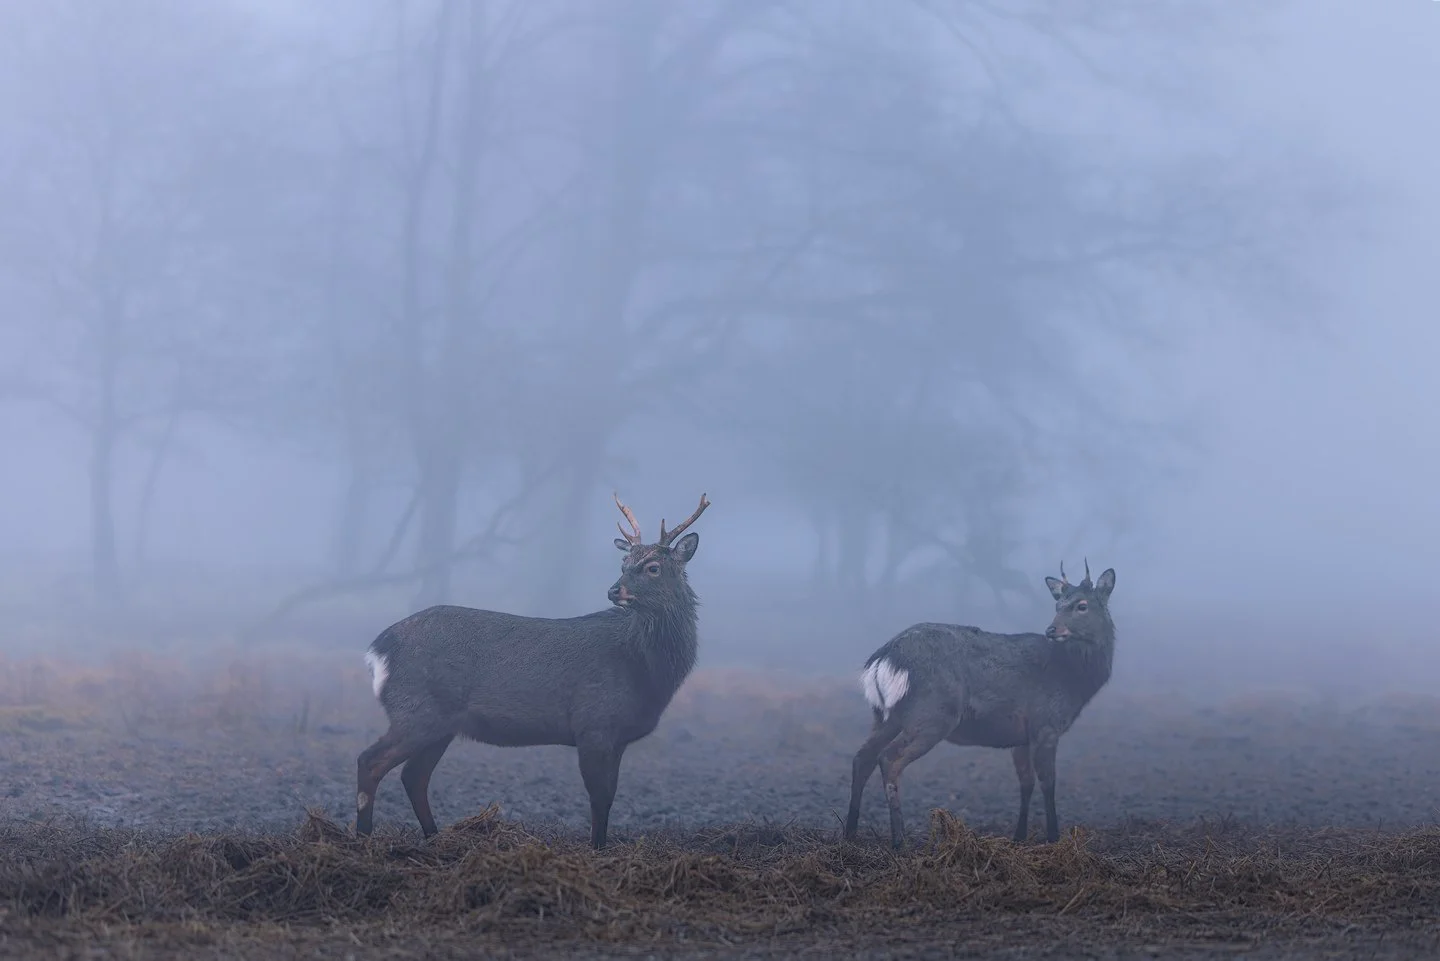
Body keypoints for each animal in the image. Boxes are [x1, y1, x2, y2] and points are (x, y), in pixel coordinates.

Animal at [354, 492, 711, 849]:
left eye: (653, 567)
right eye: (623, 564)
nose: (614, 590)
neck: (644, 670)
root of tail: (378, 649)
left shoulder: (616, 737)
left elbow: (610, 796)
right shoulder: (593, 724)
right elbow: (599, 797)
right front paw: (596, 848)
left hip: (441, 724)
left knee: (414, 776)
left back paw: (434, 837)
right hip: (416, 709)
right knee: (370, 762)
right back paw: (363, 837)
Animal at [843, 560, 1117, 849]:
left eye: (1082, 605)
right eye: (1058, 605)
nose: (1052, 630)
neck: (1073, 679)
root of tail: (884, 658)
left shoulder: (1021, 736)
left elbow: (1026, 782)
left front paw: (1019, 836)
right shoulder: (1046, 724)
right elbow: (1048, 781)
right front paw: (1053, 837)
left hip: (885, 716)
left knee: (862, 757)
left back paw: (850, 832)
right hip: (931, 714)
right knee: (889, 758)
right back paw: (899, 840)